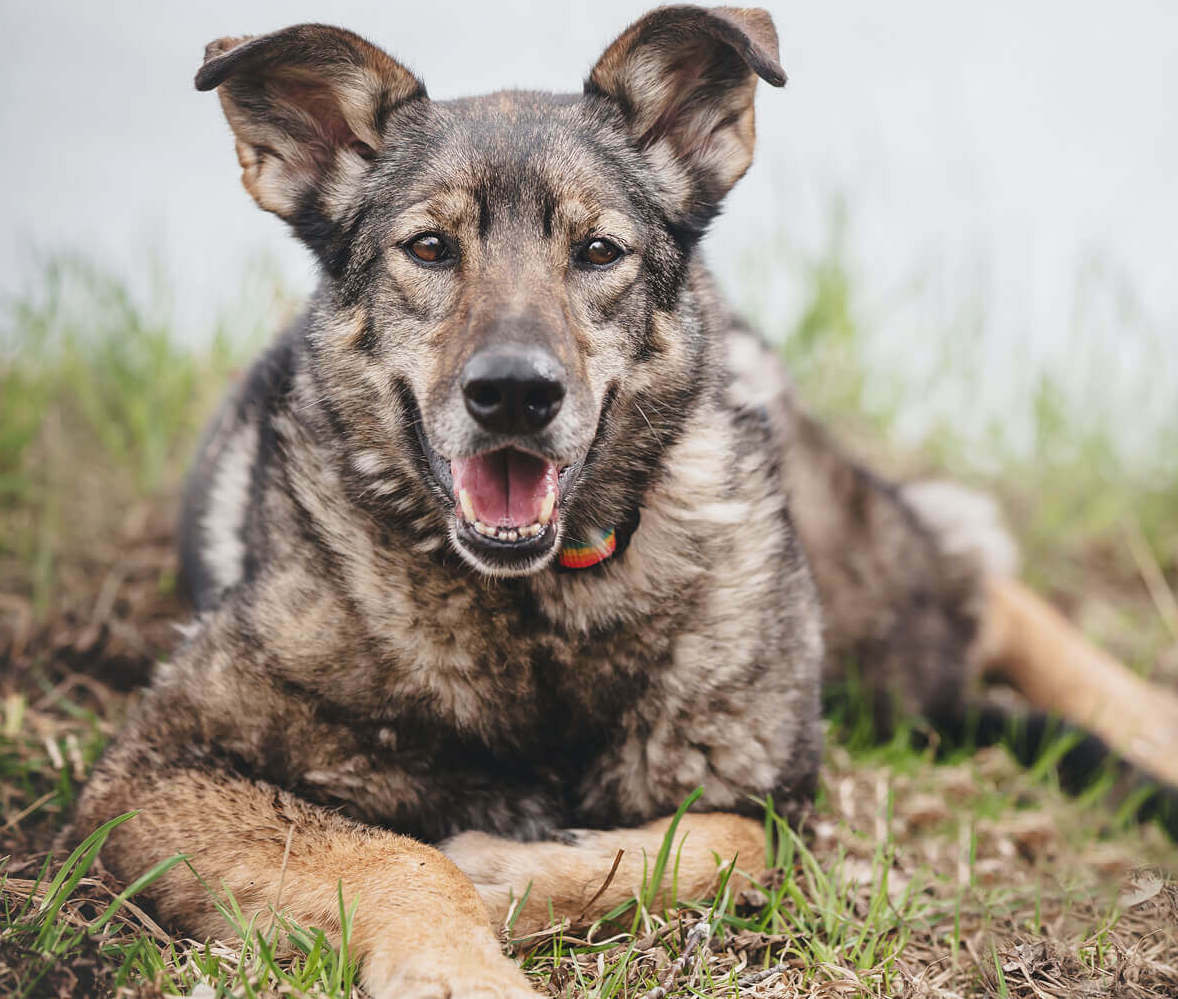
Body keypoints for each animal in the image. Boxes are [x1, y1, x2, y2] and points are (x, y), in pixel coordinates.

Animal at [75, 9, 1178, 999]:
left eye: (598, 252)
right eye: (428, 249)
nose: (513, 394)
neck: (537, 612)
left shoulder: (771, 795)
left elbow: (723, 841)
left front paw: (506, 870)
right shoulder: (156, 768)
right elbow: (399, 857)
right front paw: (461, 961)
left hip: (877, 610)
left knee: (982, 585)